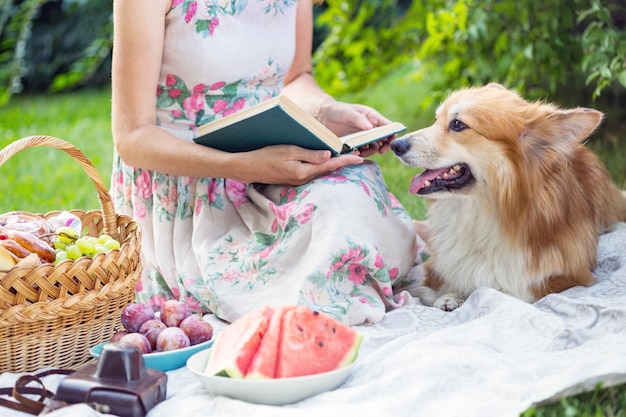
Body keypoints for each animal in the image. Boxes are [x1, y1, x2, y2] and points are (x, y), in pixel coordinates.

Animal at [390, 82, 624, 308]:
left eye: (458, 124)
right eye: (436, 120)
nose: (395, 145)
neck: (482, 214)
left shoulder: (566, 278)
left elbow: (509, 290)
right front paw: (451, 296)